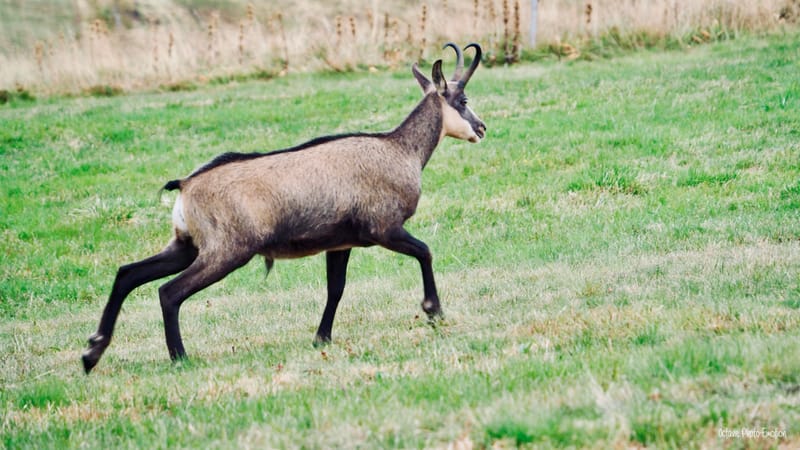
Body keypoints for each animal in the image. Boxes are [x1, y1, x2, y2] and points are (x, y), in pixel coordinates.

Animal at [82, 43, 486, 374]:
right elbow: (425, 251)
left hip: (186, 245)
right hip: (226, 250)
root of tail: (186, 185)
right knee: (169, 292)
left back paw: (92, 352)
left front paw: (321, 338)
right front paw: (434, 311)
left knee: (128, 274)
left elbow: (336, 288)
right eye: (463, 101)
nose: (481, 128)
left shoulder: (341, 243)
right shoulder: (383, 228)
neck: (400, 151)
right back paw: (179, 358)